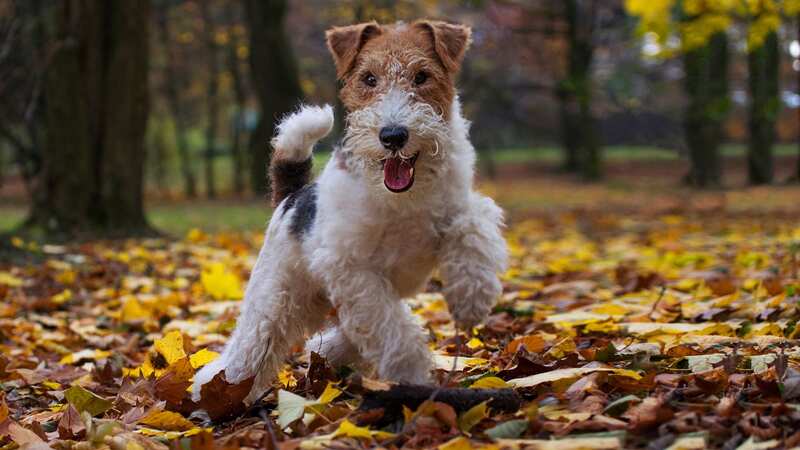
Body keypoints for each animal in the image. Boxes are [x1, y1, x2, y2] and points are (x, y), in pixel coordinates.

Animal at [192, 19, 506, 402]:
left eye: (422, 76)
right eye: (369, 78)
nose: (393, 136)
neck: (403, 200)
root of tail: (292, 196)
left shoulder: (457, 209)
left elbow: (472, 226)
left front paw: (470, 297)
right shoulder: (351, 266)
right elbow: (392, 330)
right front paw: (412, 374)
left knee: (341, 334)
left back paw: (328, 351)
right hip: (274, 300)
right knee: (247, 351)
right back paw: (215, 394)